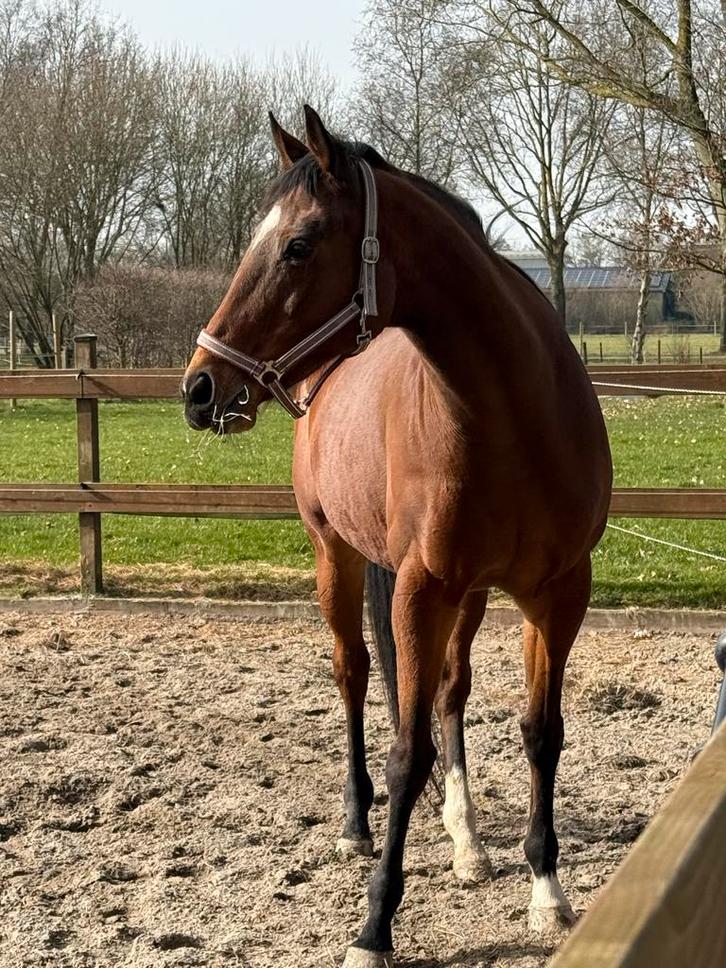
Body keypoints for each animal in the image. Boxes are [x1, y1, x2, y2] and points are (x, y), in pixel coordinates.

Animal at [182, 106, 613, 967]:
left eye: (298, 245)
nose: (201, 388)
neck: (515, 412)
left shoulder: (557, 594)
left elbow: (540, 733)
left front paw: (546, 891)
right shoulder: (419, 592)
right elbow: (406, 753)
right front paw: (374, 926)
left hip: (469, 597)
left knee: (450, 691)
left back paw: (467, 838)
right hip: (337, 558)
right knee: (352, 675)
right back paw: (356, 822)